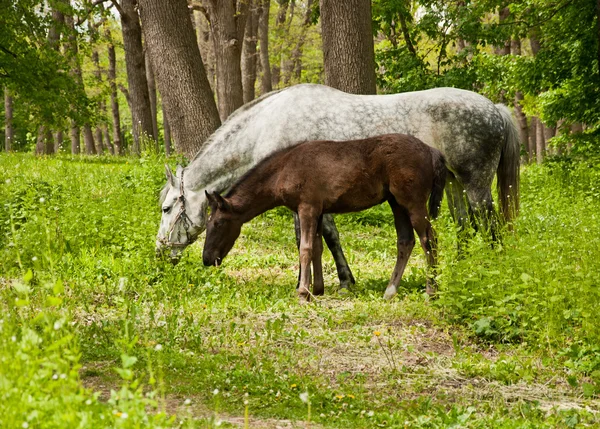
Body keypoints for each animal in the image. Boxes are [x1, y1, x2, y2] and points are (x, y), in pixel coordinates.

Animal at [203, 133, 446, 300]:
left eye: (219, 222)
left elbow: (306, 247)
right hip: (396, 202)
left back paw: (431, 290)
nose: (207, 258)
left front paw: (303, 292)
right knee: (406, 241)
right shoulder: (318, 210)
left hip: (413, 202)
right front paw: (317, 289)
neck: (282, 172)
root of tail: (433, 152)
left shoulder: (307, 207)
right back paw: (390, 290)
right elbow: (318, 247)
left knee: (429, 239)